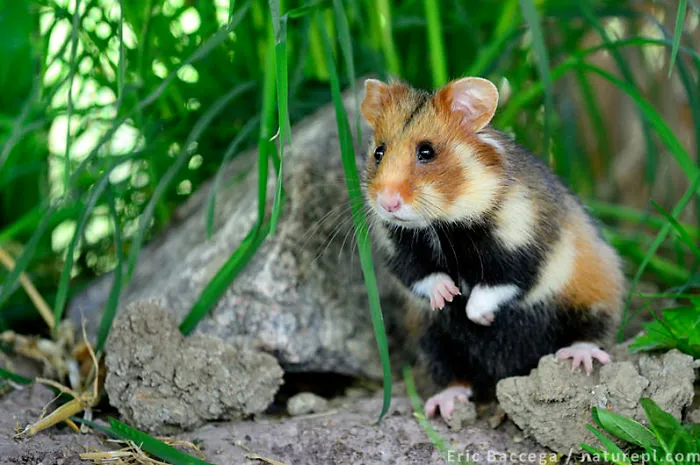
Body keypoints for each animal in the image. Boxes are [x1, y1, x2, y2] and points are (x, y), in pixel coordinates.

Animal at [360, 77, 625, 422]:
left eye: (426, 151)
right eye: (379, 152)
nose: (387, 202)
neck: (442, 224)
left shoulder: (525, 247)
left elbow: (496, 286)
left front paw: (480, 317)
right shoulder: (398, 250)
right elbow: (422, 276)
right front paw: (447, 296)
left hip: (590, 295)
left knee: (591, 331)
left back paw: (579, 357)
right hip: (435, 341)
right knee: (453, 374)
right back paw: (444, 404)